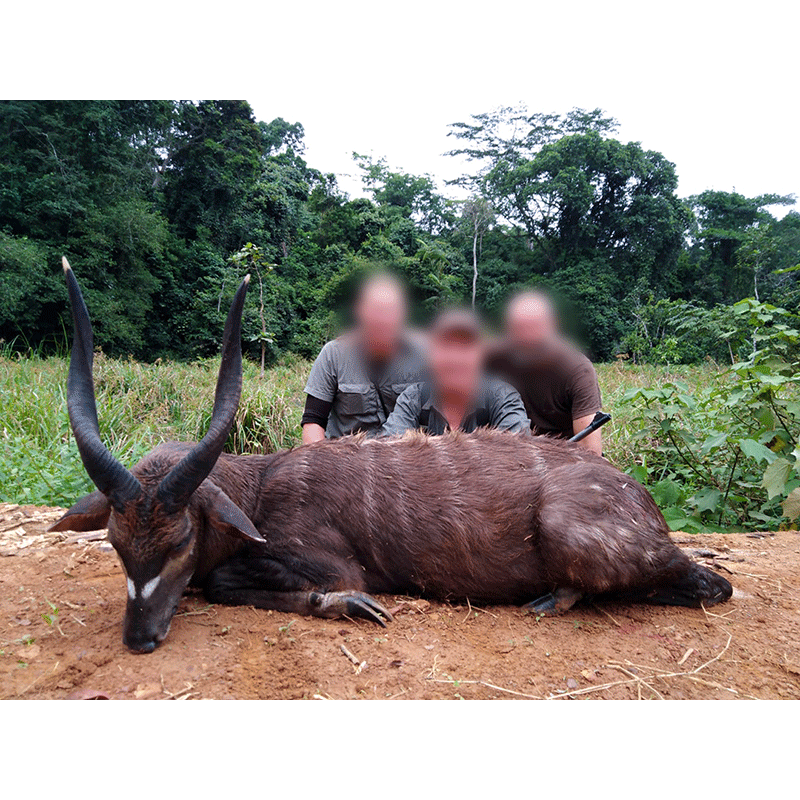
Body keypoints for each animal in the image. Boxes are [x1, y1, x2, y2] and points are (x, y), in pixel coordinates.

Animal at [51, 260, 732, 652]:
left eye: (181, 541)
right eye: (116, 543)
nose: (139, 639)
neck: (260, 486)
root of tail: (645, 507)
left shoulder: (325, 563)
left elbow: (226, 582)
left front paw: (348, 606)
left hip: (572, 529)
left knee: (706, 584)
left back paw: (556, 599)